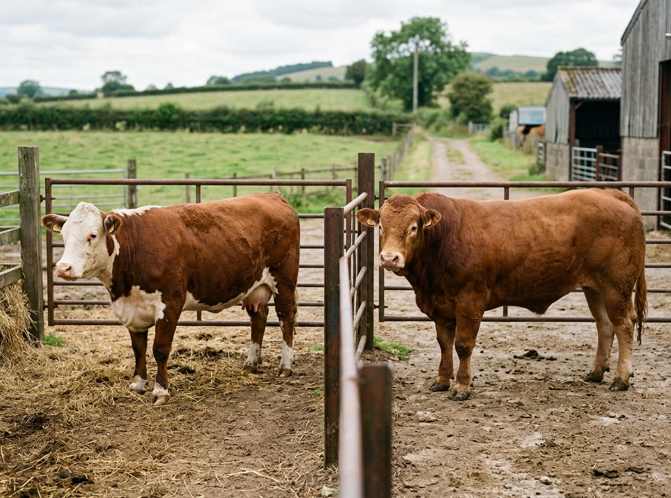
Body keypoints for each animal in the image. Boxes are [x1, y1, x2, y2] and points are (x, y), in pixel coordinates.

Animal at [42, 193, 300, 405]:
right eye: (63, 235)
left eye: (93, 235)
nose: (63, 268)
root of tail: (272, 195)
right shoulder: (132, 310)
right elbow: (138, 349)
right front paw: (138, 383)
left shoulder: (169, 304)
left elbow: (160, 349)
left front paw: (161, 391)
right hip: (253, 285)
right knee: (259, 316)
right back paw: (251, 363)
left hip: (284, 278)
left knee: (286, 317)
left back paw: (285, 366)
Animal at [357, 189, 647, 401]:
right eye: (381, 225)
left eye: (414, 227)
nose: (389, 258)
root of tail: (610, 193)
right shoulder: (441, 305)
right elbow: (444, 344)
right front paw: (441, 381)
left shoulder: (470, 300)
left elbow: (463, 345)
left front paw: (461, 387)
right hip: (594, 287)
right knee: (605, 325)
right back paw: (596, 372)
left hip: (616, 286)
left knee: (624, 325)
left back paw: (621, 379)